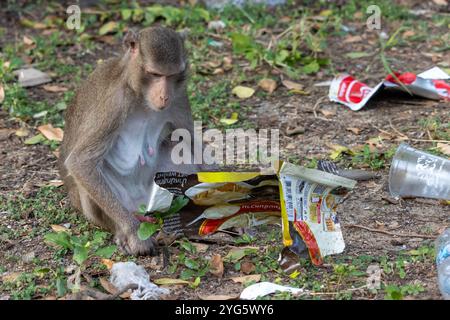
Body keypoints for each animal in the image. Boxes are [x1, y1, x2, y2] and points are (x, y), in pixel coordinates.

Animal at [58, 26, 195, 255]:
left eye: (172, 75)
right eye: (155, 74)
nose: (164, 96)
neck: (138, 93)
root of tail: (140, 205)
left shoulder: (179, 95)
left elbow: (193, 142)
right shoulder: (114, 103)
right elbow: (80, 162)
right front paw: (133, 234)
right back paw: (121, 230)